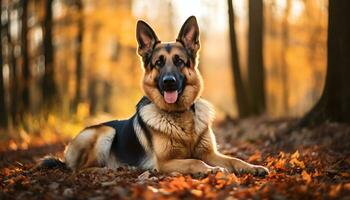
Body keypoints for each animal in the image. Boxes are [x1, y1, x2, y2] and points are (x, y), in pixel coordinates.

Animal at [43, 16, 268, 176]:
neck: (180, 116)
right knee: (79, 169)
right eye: (158, 63)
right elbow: (195, 161)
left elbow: (233, 159)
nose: (168, 81)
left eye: (179, 61)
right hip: (105, 132)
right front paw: (211, 170)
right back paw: (113, 169)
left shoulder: (210, 153)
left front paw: (252, 167)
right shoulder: (165, 162)